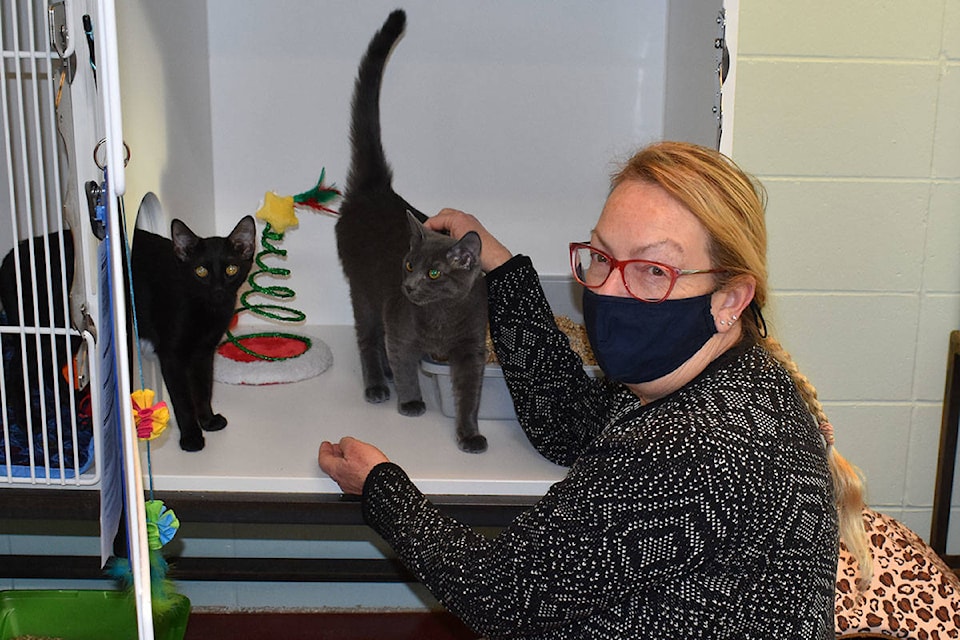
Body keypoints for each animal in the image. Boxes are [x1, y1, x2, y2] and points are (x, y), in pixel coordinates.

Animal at [133, 218, 258, 452]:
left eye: (231, 269)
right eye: (200, 271)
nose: (218, 291)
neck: (207, 311)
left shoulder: (203, 352)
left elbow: (203, 389)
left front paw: (208, 421)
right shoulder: (171, 356)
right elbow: (183, 400)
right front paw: (191, 437)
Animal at [336, 8, 488, 450]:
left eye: (434, 272)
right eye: (407, 266)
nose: (407, 286)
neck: (440, 315)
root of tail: (376, 190)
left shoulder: (471, 349)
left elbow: (469, 394)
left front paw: (470, 434)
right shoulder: (404, 333)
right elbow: (405, 365)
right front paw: (410, 402)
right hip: (362, 289)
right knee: (369, 337)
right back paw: (376, 383)